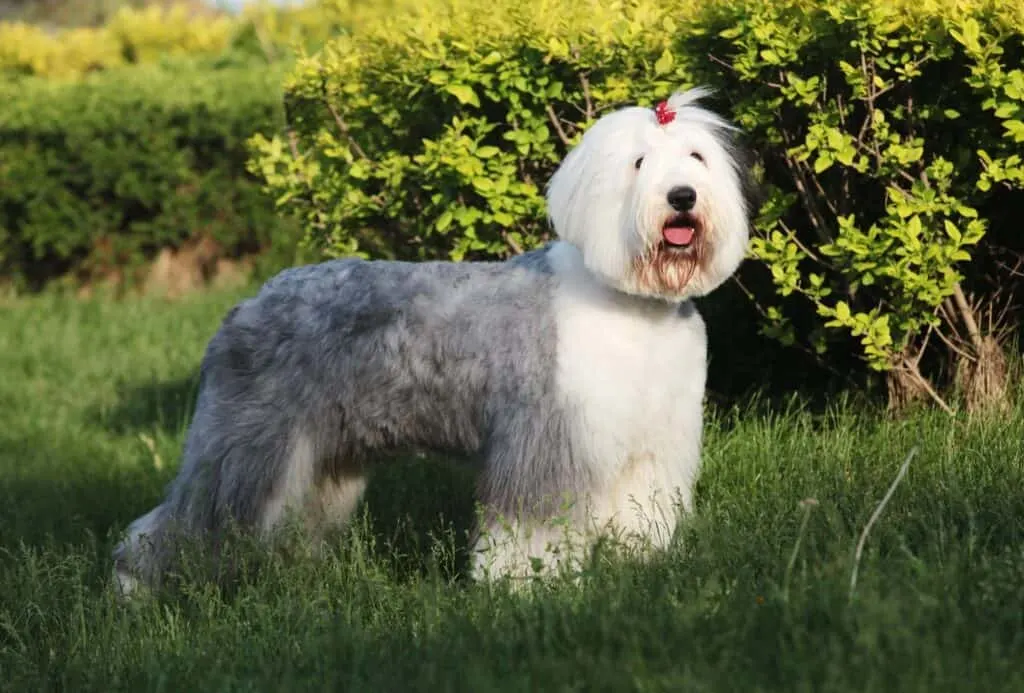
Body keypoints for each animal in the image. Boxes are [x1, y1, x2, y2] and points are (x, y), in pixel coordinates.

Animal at [112, 86, 757, 593]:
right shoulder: (545, 438)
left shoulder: (652, 443)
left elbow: (642, 512)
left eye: (696, 157)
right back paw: (134, 590)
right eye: (640, 163)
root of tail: (248, 304)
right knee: (175, 524)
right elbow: (530, 525)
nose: (682, 197)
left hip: (322, 456)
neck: (629, 300)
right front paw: (524, 586)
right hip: (249, 443)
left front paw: (639, 567)